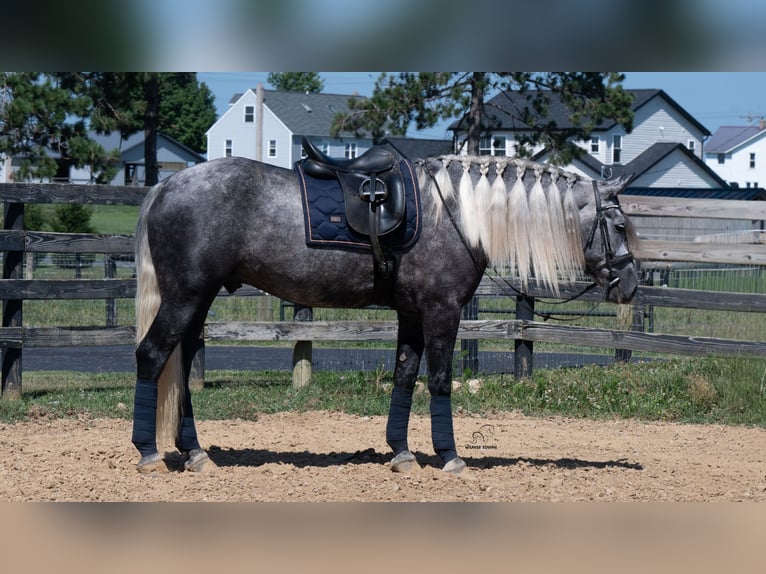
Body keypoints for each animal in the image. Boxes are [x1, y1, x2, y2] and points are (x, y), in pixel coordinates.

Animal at [131, 148, 639, 475]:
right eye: (618, 224)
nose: (631, 284)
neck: (457, 215)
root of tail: (166, 184)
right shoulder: (441, 312)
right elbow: (438, 381)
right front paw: (450, 456)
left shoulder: (412, 314)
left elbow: (404, 376)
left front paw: (401, 453)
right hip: (185, 298)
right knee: (152, 357)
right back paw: (149, 453)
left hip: (197, 302)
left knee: (182, 362)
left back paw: (196, 454)